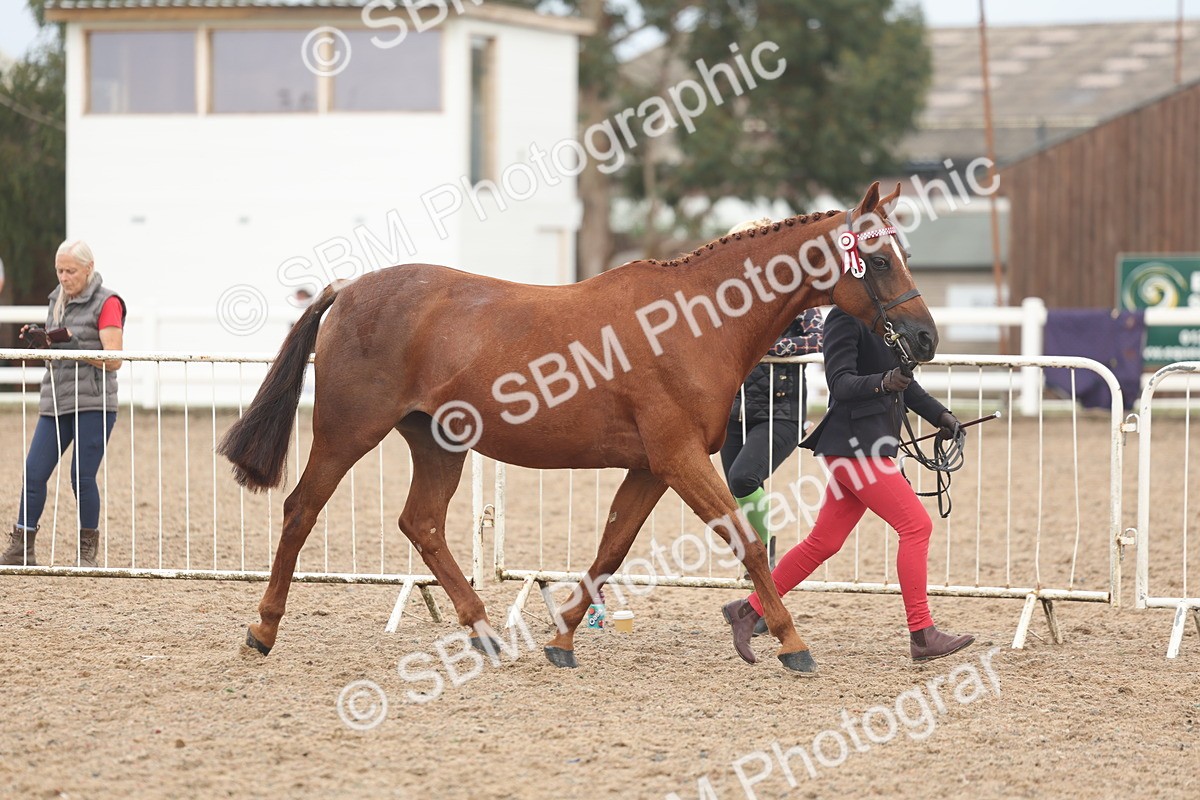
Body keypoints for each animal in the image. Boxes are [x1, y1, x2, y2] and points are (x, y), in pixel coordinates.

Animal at [218, 181, 937, 673]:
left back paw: (484, 632)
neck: (694, 320)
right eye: (877, 261)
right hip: (348, 432)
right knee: (302, 509)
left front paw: (561, 639)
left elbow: (611, 548)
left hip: (438, 442)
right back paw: (263, 630)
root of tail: (349, 288)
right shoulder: (679, 459)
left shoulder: (651, 467)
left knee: (421, 524)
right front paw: (792, 643)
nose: (926, 338)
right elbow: (747, 543)